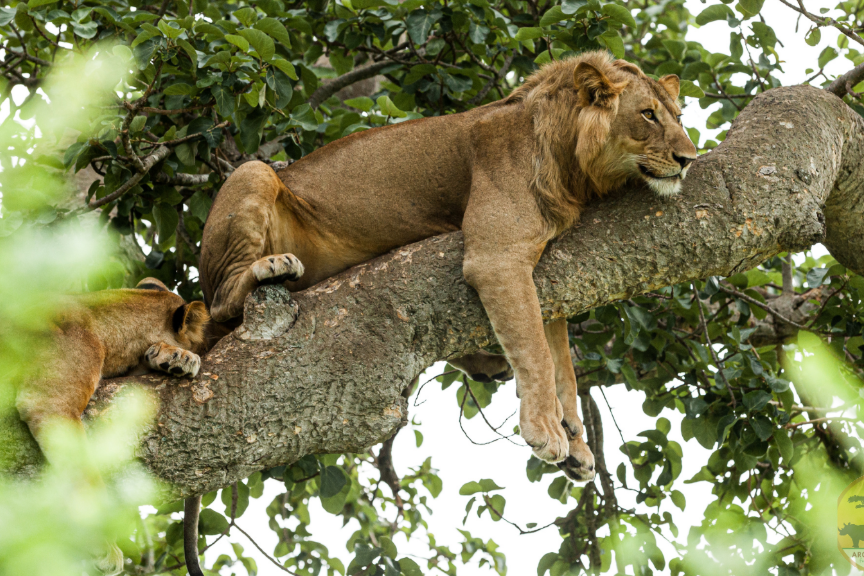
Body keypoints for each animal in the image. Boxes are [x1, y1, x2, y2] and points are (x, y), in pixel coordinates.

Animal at [200, 50, 697, 483]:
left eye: (678, 116)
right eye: (648, 115)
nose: (689, 159)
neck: (574, 165)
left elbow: (561, 362)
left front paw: (575, 439)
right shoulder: (496, 254)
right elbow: (536, 350)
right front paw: (546, 429)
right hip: (253, 174)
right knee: (221, 303)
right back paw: (273, 267)